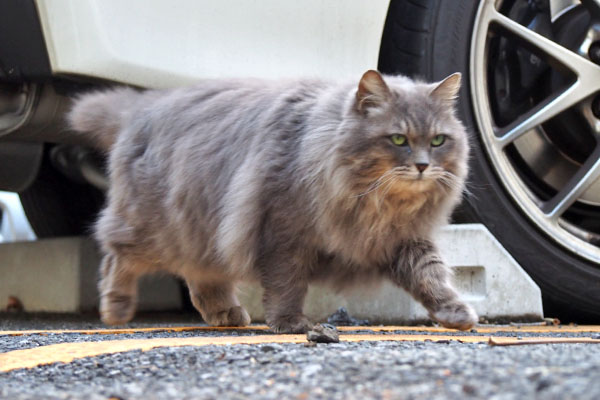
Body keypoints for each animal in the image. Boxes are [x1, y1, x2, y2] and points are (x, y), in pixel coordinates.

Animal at [67, 70, 478, 332]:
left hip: (201, 230)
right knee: (117, 258)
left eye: (438, 141)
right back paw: (116, 310)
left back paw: (226, 314)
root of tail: (142, 108)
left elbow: (432, 277)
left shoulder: (405, 240)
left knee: (201, 278)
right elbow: (286, 285)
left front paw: (455, 313)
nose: (423, 166)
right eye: (398, 140)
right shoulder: (282, 234)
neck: (374, 203)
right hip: (152, 228)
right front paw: (290, 323)